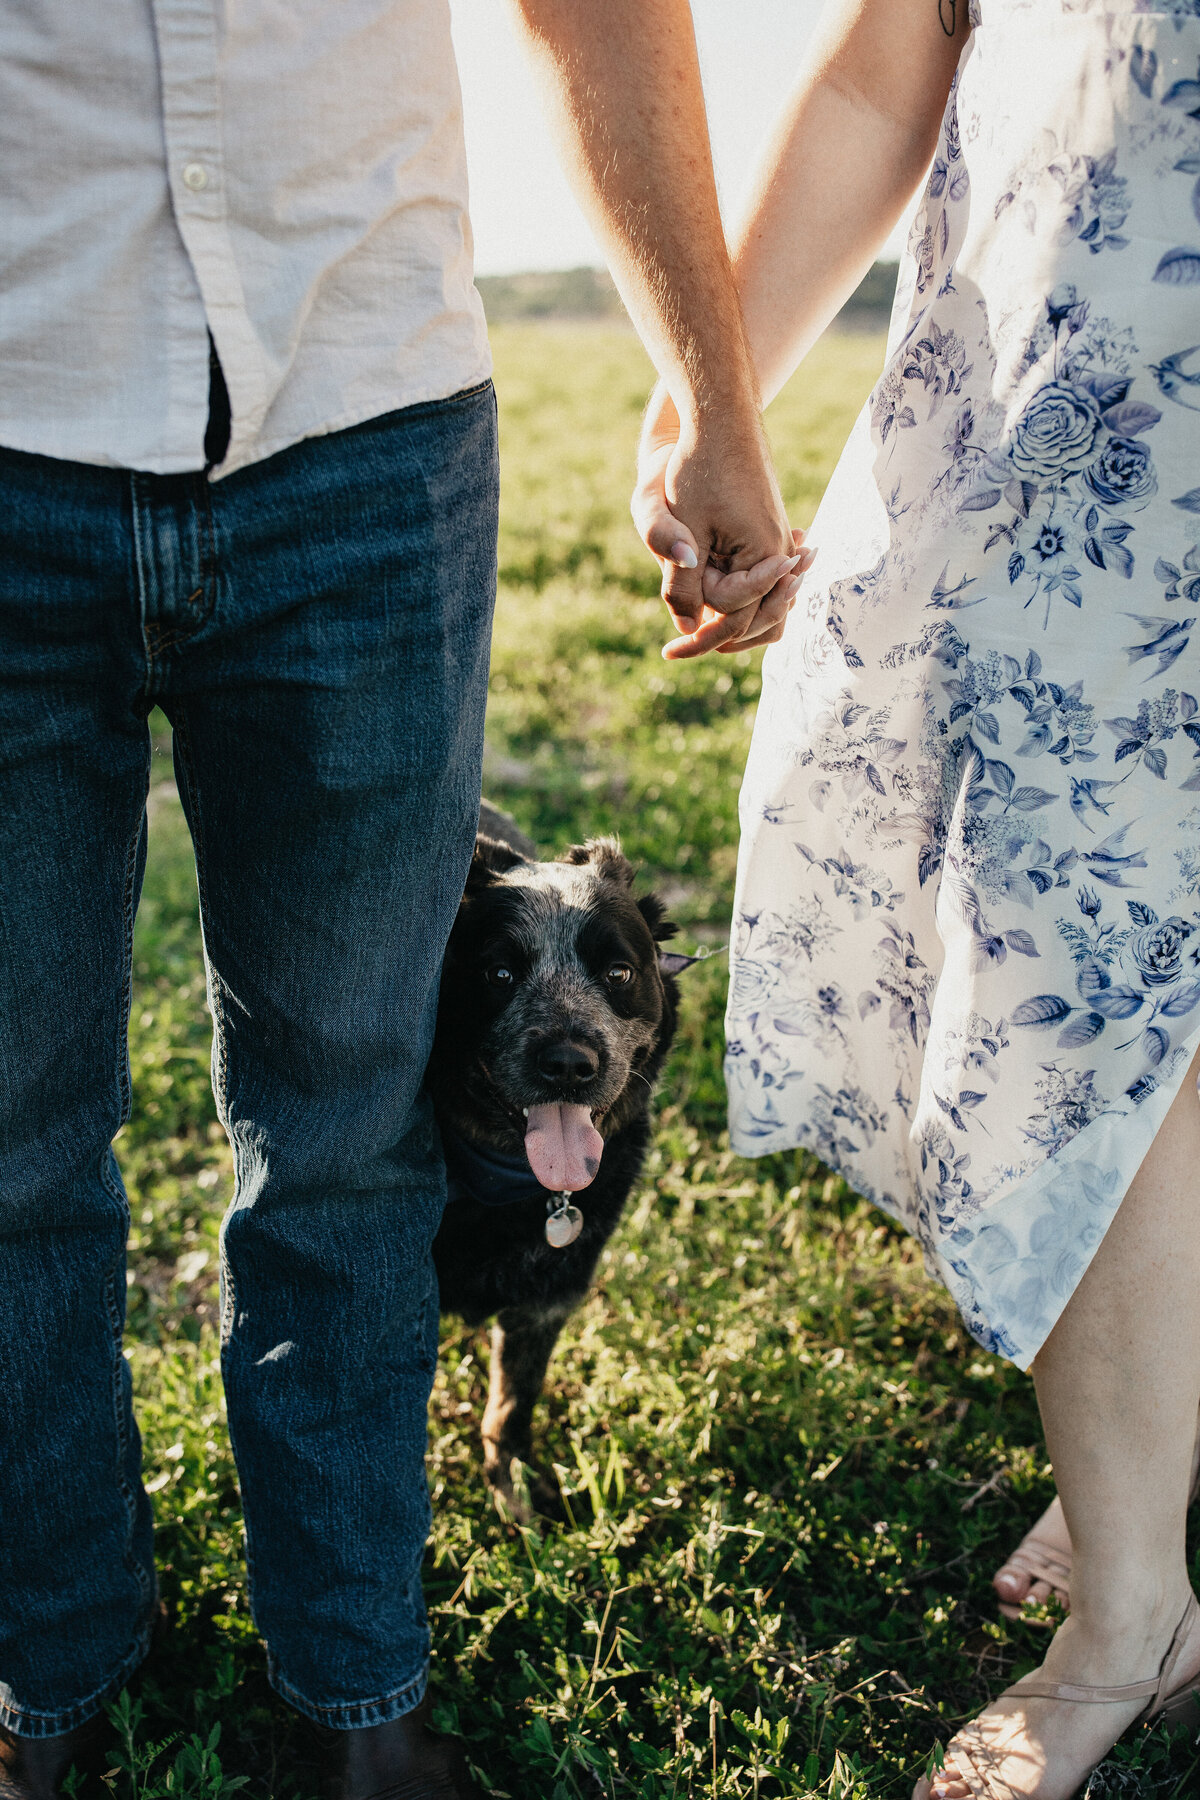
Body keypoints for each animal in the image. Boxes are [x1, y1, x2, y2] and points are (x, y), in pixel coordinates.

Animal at [431, 810, 694, 1512]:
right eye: (498, 975)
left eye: (618, 974)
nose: (570, 1065)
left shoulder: (547, 1298)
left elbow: (513, 1402)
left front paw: (514, 1481)